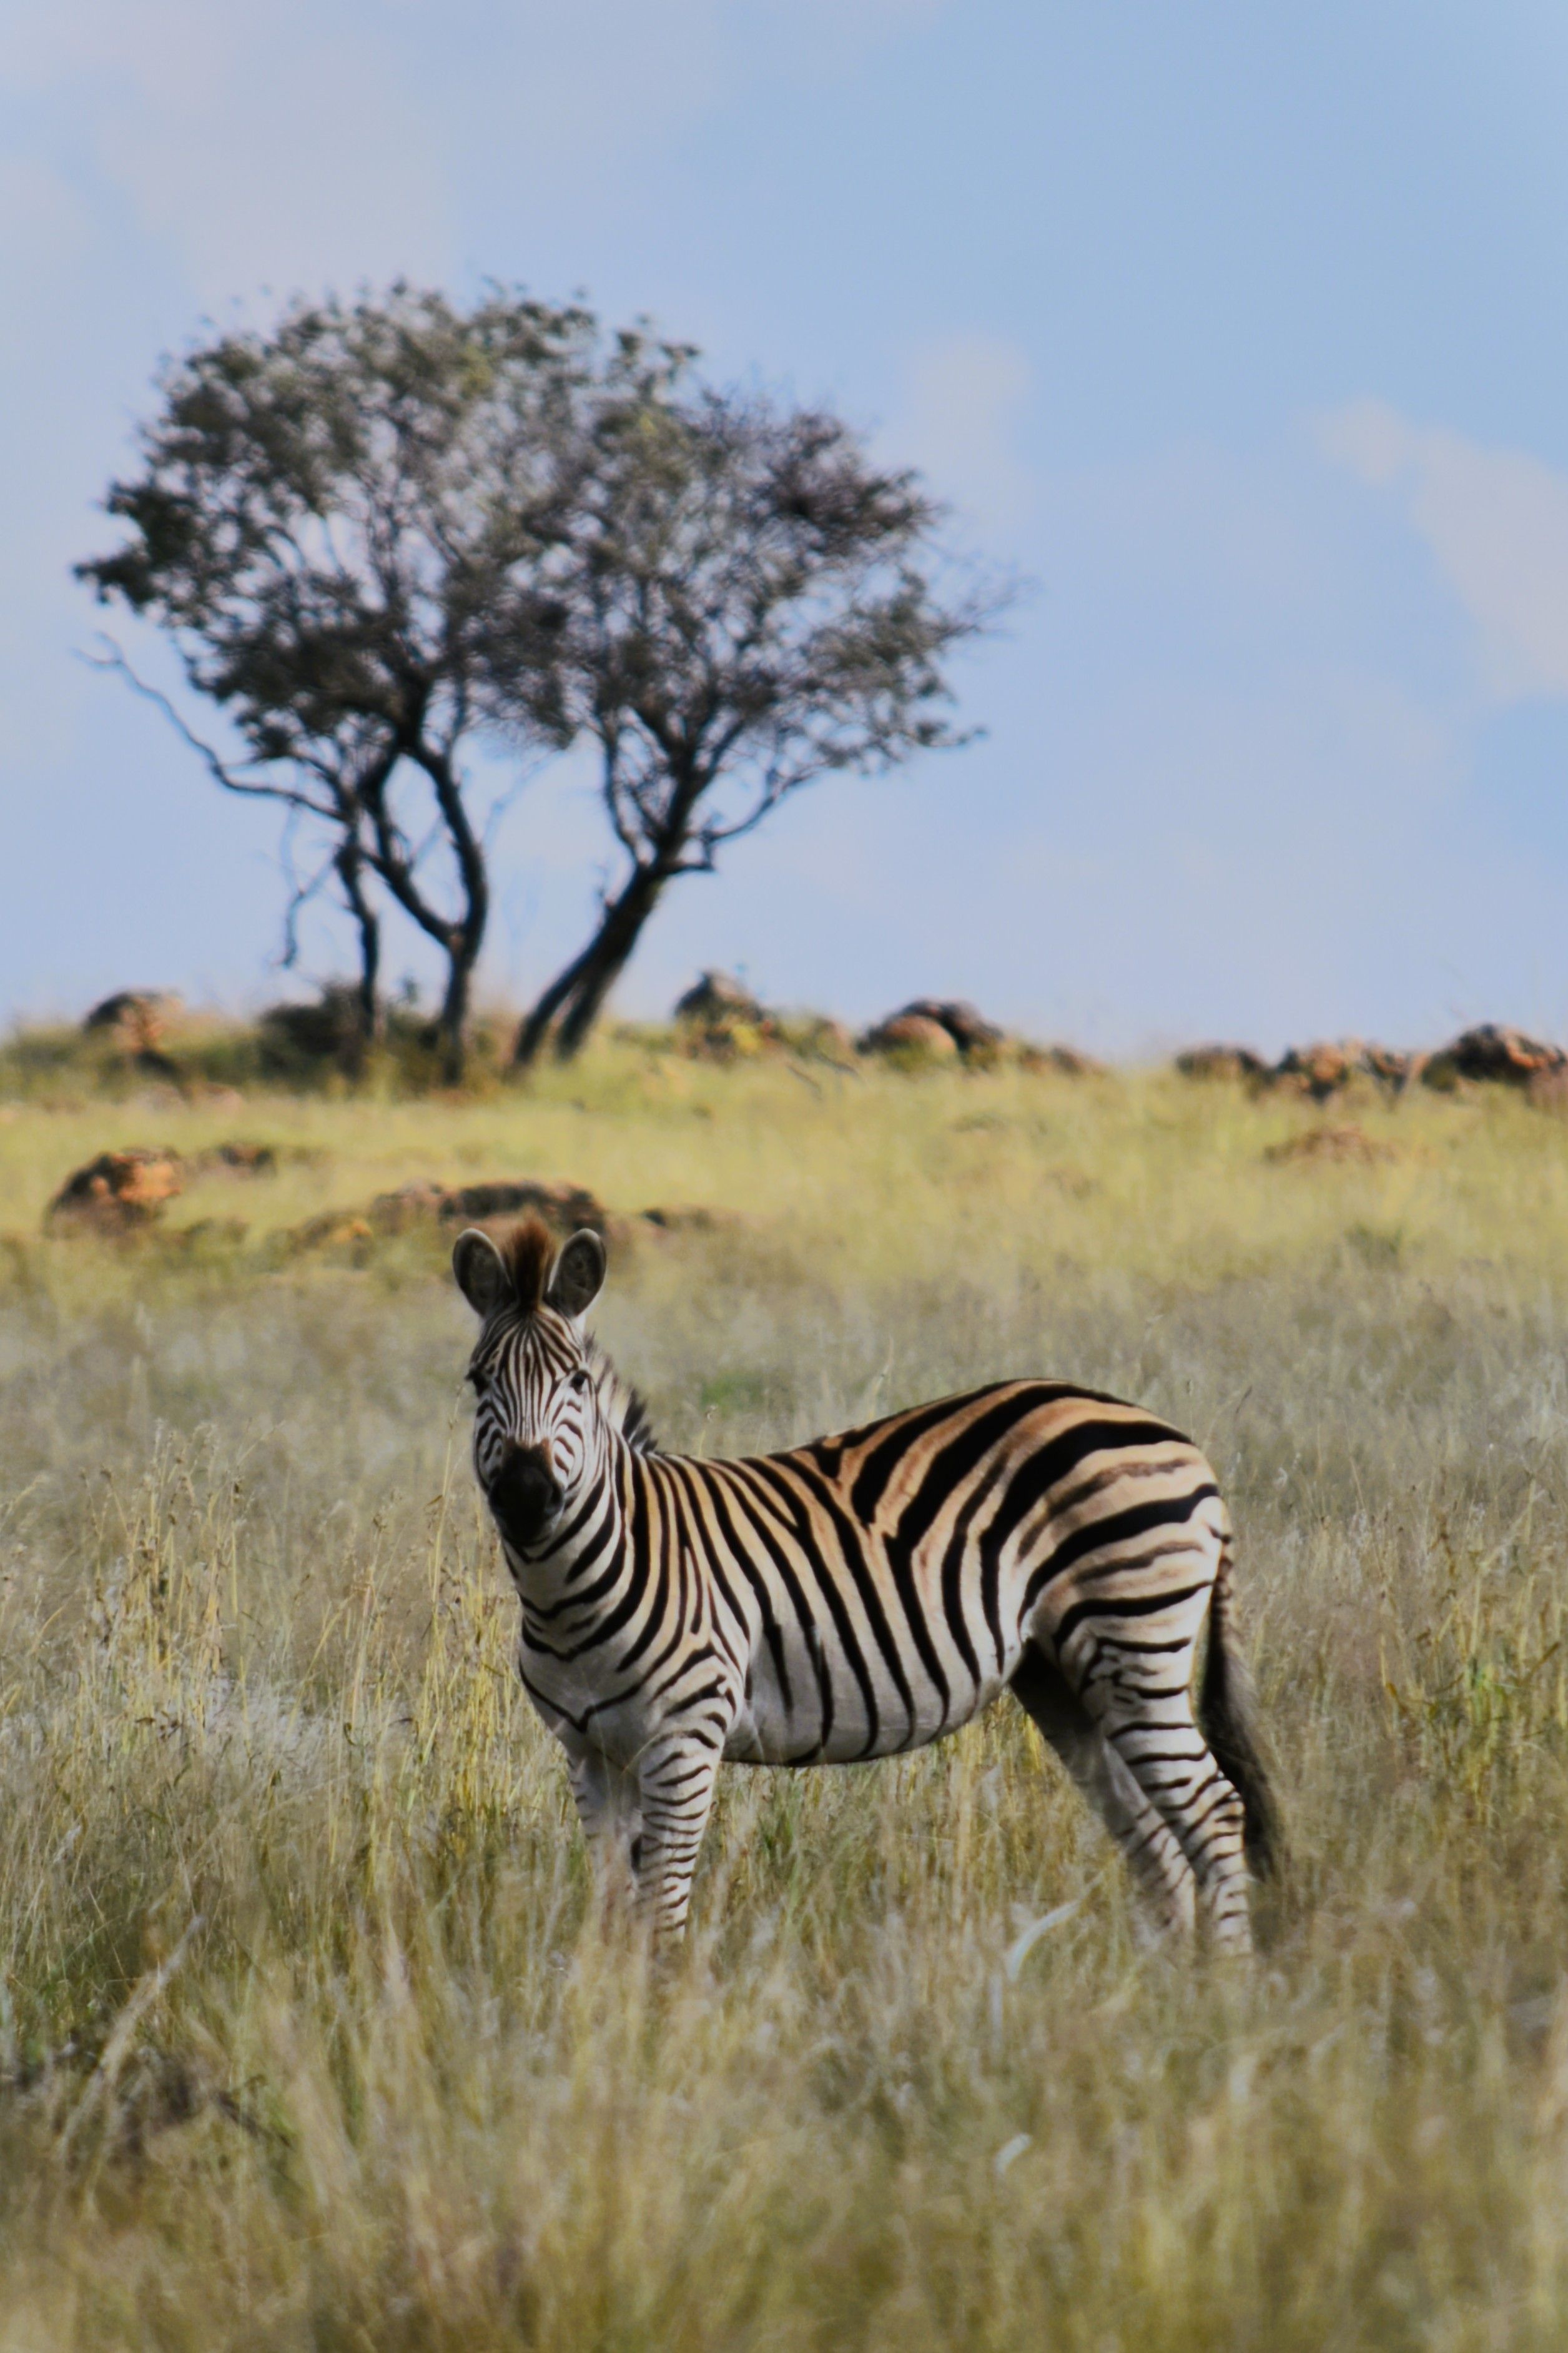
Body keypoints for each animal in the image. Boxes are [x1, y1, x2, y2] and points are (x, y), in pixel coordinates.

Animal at [454, 1216, 1277, 1951]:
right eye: (477, 1380)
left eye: (576, 1380)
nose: (526, 1494)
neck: (571, 1592)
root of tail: (1181, 1440)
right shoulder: (590, 1754)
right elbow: (610, 1906)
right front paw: (609, 2005)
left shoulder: (684, 1740)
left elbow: (661, 1909)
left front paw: (655, 2011)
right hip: (1065, 1674)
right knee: (1151, 1832)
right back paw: (1160, 1987)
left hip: (1136, 1640)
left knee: (1215, 1810)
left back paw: (1222, 1990)